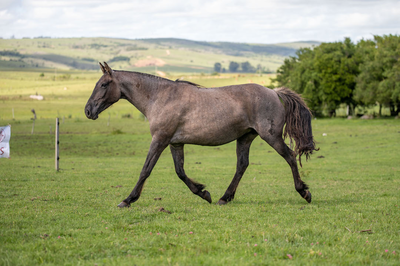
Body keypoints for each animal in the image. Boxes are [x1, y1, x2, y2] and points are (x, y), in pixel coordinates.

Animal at [85, 62, 318, 208]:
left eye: (104, 84)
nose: (88, 110)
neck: (160, 97)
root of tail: (274, 92)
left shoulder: (159, 140)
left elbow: (145, 170)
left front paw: (127, 200)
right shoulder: (175, 143)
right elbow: (180, 172)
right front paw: (204, 193)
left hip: (271, 137)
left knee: (290, 156)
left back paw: (304, 192)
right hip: (245, 137)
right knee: (242, 165)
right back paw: (224, 198)